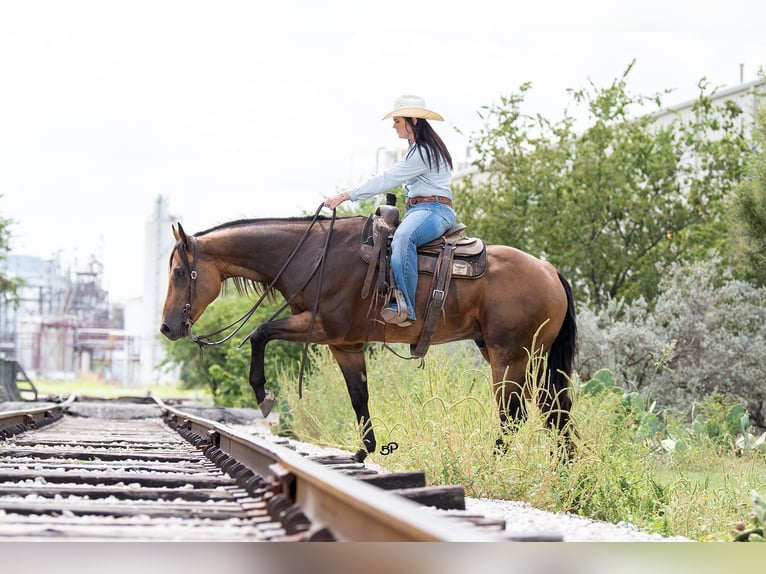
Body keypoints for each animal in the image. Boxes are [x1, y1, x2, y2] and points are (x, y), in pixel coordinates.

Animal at [159, 212, 576, 464]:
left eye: (179, 272)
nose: (167, 327)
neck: (314, 257)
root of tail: (549, 270)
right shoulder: (345, 345)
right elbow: (359, 396)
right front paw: (365, 452)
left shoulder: (323, 327)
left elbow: (259, 333)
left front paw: (263, 395)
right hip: (525, 357)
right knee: (555, 411)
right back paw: (567, 472)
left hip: (510, 356)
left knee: (513, 415)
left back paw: (494, 464)